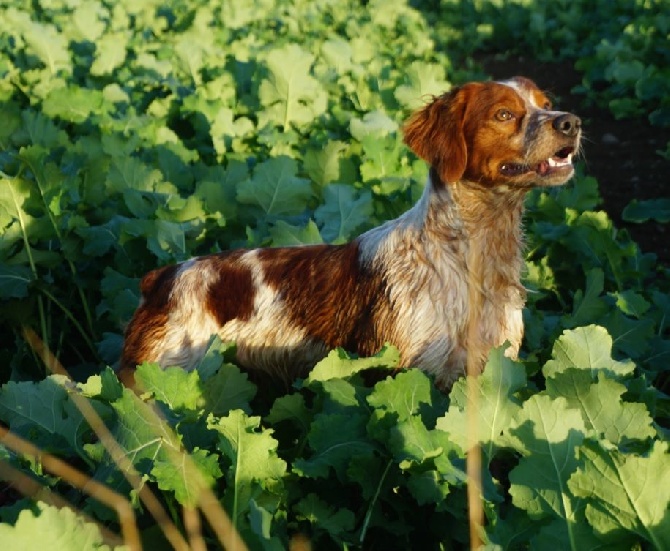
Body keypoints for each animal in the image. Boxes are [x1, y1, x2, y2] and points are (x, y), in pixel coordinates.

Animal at [121, 77, 584, 390]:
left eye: (547, 104)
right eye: (503, 114)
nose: (571, 122)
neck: (469, 254)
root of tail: (161, 277)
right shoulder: (411, 369)